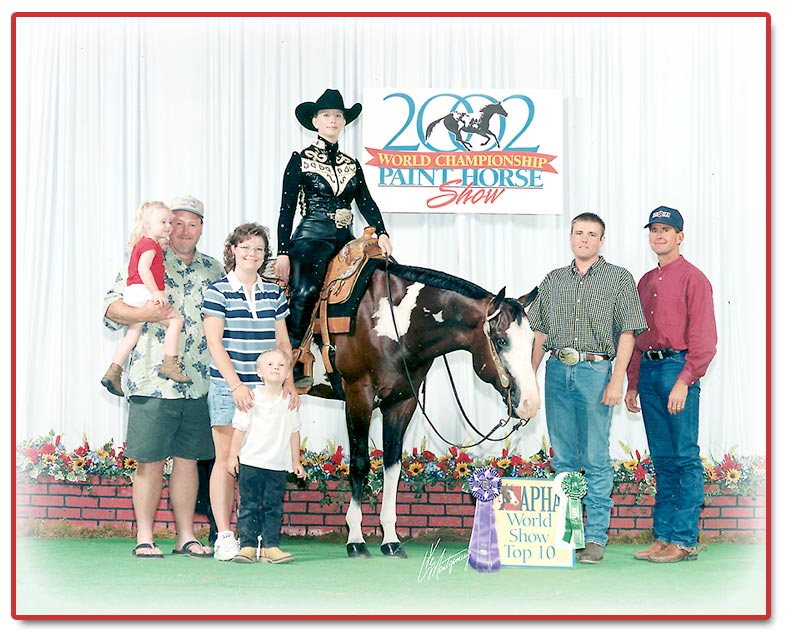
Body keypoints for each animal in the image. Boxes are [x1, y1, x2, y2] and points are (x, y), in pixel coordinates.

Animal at [302, 260, 541, 558]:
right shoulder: (359, 396)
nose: (530, 403)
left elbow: (392, 466)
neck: (394, 321)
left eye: (531, 341)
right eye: (500, 341)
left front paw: (391, 540)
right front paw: (355, 539)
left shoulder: (402, 402)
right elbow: (359, 463)